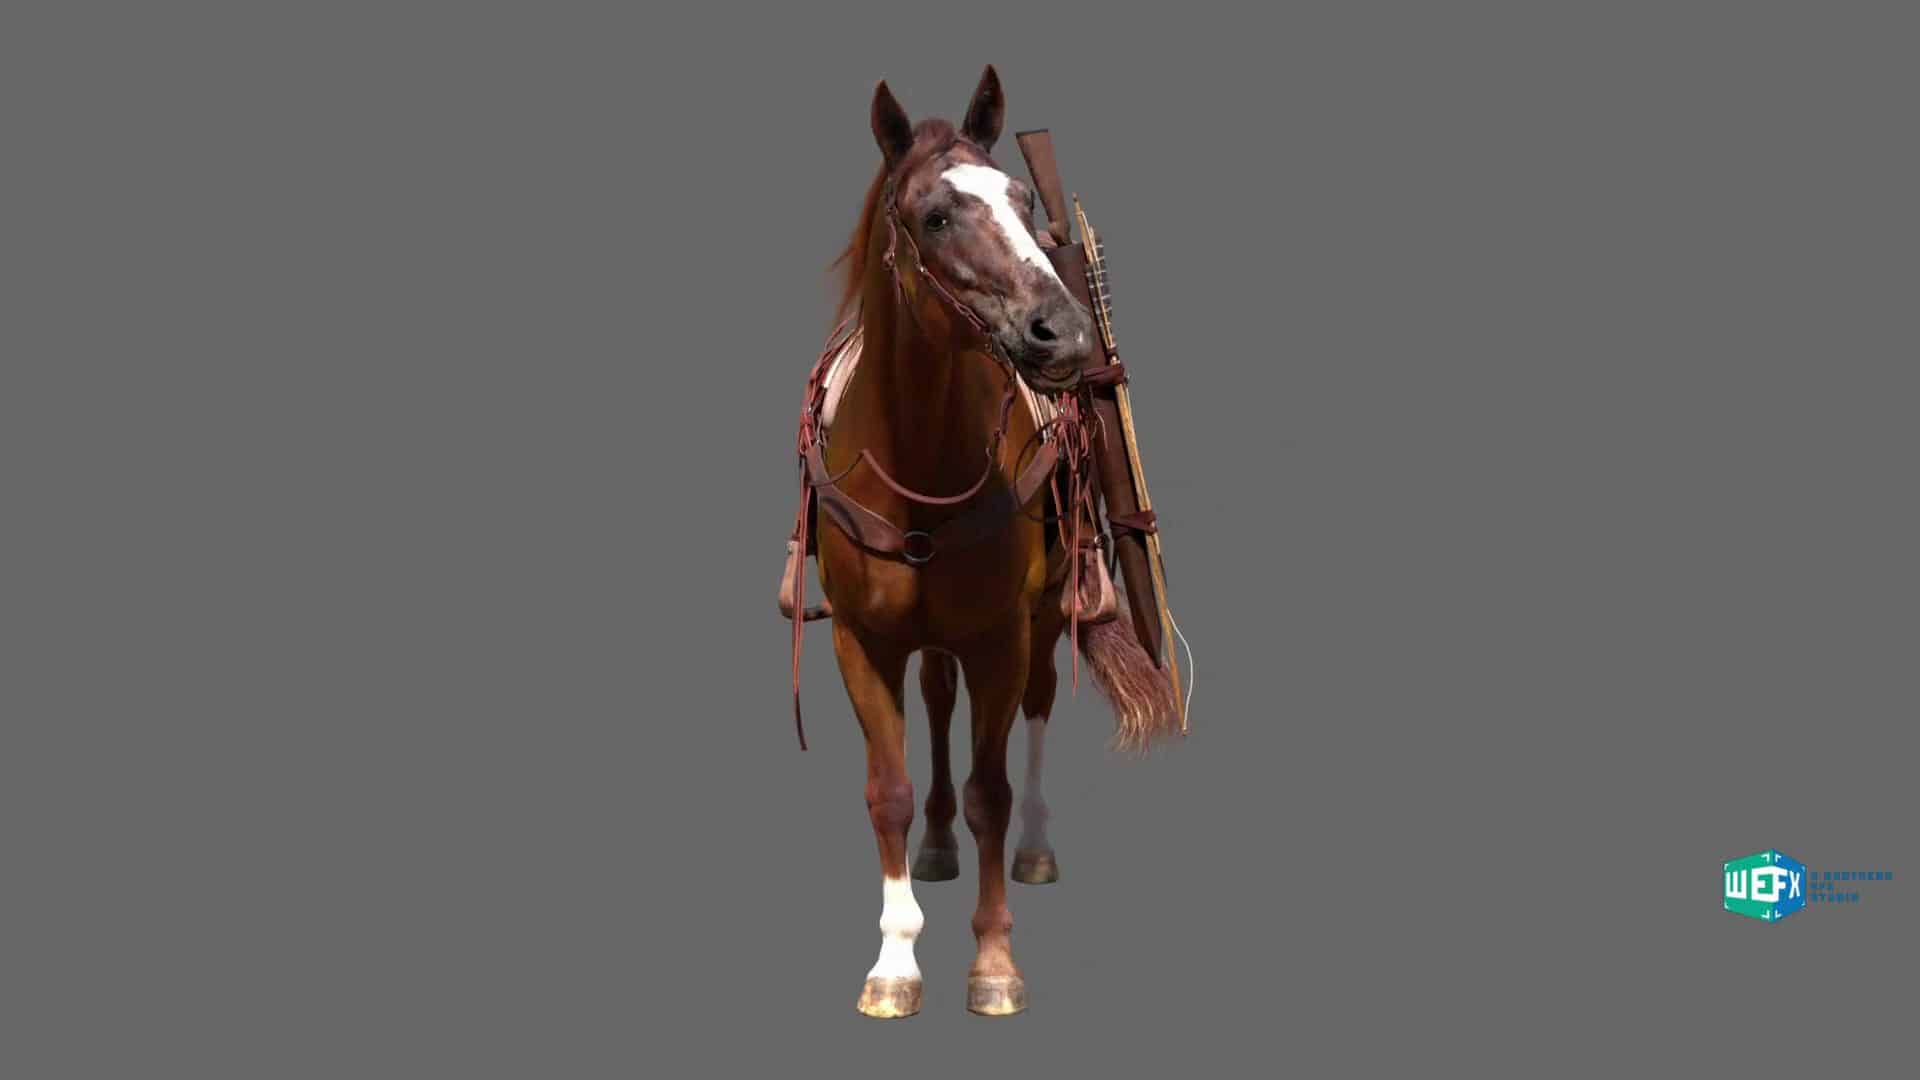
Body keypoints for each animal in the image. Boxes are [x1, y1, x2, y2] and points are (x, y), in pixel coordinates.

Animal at [791, 66, 1180, 1019]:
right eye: (934, 216)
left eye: (1020, 200)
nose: (1067, 334)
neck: (916, 458)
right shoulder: (861, 642)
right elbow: (888, 793)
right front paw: (895, 961)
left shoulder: (1001, 637)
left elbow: (991, 791)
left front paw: (995, 961)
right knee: (936, 705)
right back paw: (934, 849)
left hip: (1038, 622)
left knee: (1033, 716)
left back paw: (1034, 849)